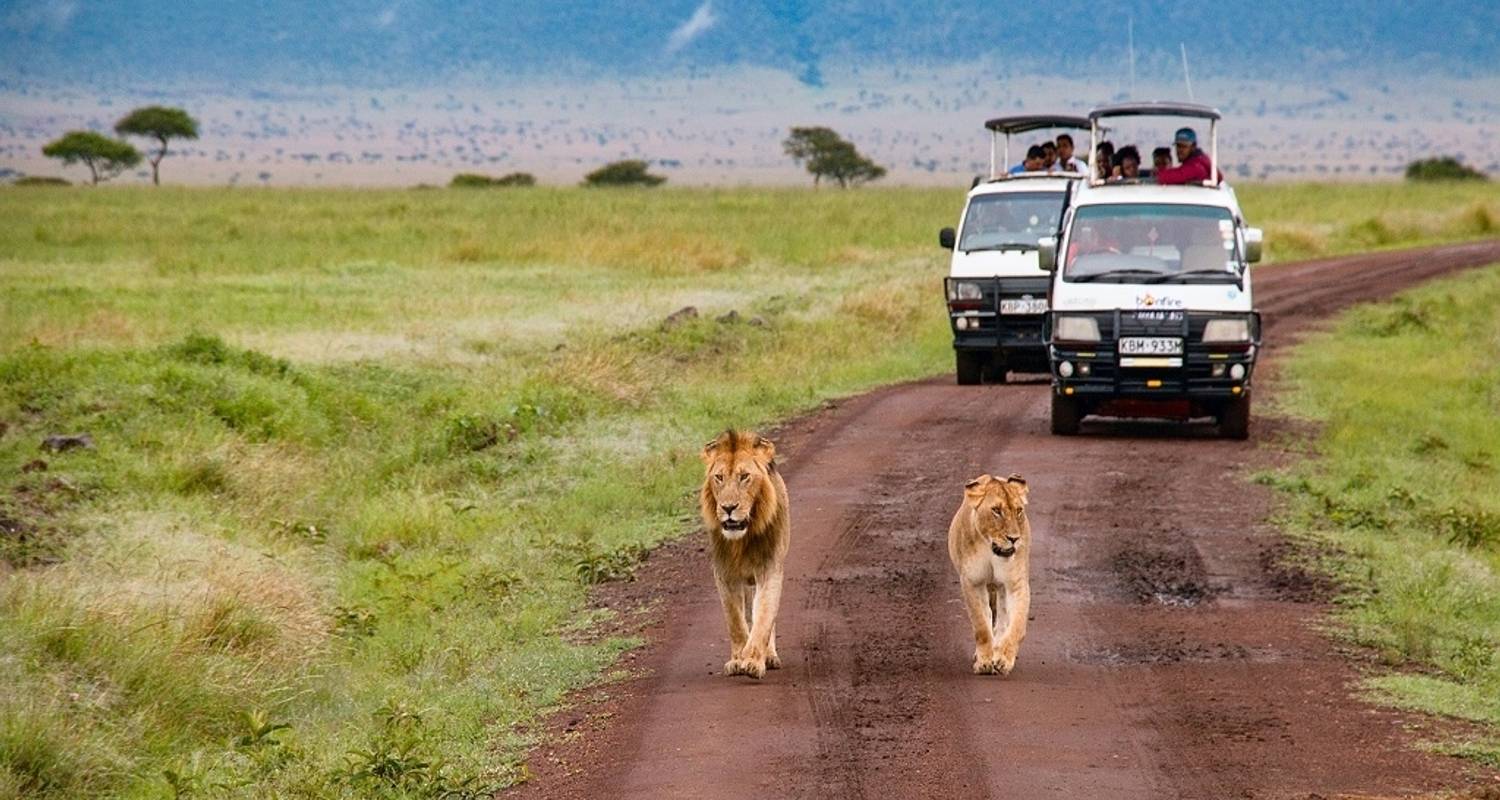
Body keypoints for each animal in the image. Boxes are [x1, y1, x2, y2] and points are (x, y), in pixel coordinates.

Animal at [702, 426, 798, 675]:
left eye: (744, 476)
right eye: (719, 477)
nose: (728, 508)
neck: (740, 541)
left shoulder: (769, 570)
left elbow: (763, 617)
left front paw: (754, 661)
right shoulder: (725, 574)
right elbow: (735, 621)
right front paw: (737, 659)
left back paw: (770, 656)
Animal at [948, 474, 1032, 672]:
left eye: (1019, 510)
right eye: (996, 511)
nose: (1014, 539)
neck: (992, 550)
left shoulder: (1016, 583)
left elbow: (1017, 625)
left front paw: (1003, 659)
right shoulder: (972, 582)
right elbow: (981, 625)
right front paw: (984, 662)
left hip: (1001, 587)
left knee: (1002, 618)